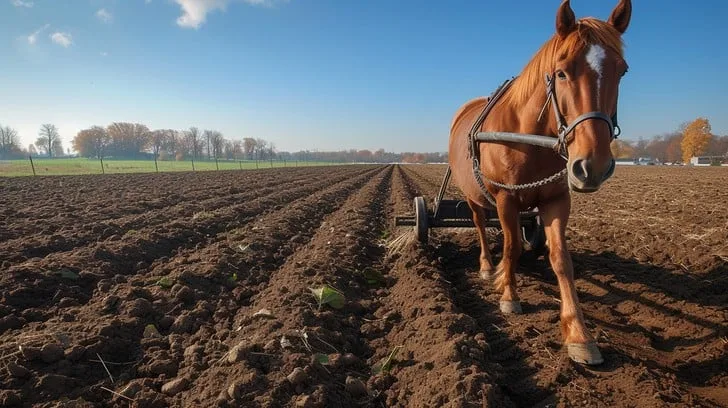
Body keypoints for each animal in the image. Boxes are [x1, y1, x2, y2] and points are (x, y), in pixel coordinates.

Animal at [448, 0, 631, 365]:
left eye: (621, 71)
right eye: (561, 72)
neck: (530, 135)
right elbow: (511, 247)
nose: (593, 165)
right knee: (479, 224)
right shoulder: (505, 199)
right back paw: (487, 266)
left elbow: (561, 259)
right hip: (474, 197)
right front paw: (508, 294)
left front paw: (578, 333)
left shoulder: (556, 199)